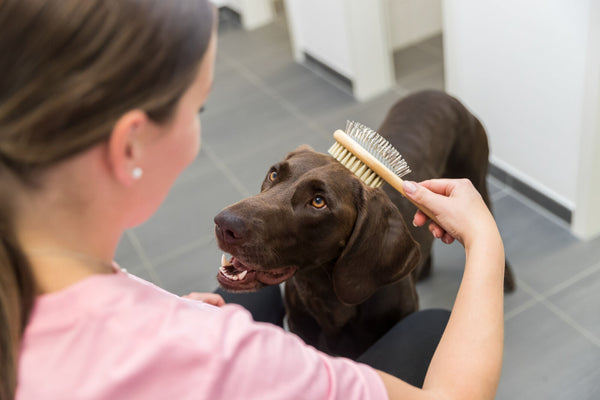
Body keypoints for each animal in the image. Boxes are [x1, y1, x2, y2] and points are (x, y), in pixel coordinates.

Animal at [213, 90, 512, 360]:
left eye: (318, 202)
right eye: (274, 174)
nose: (224, 224)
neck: (326, 297)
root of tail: (440, 93)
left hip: (474, 183)